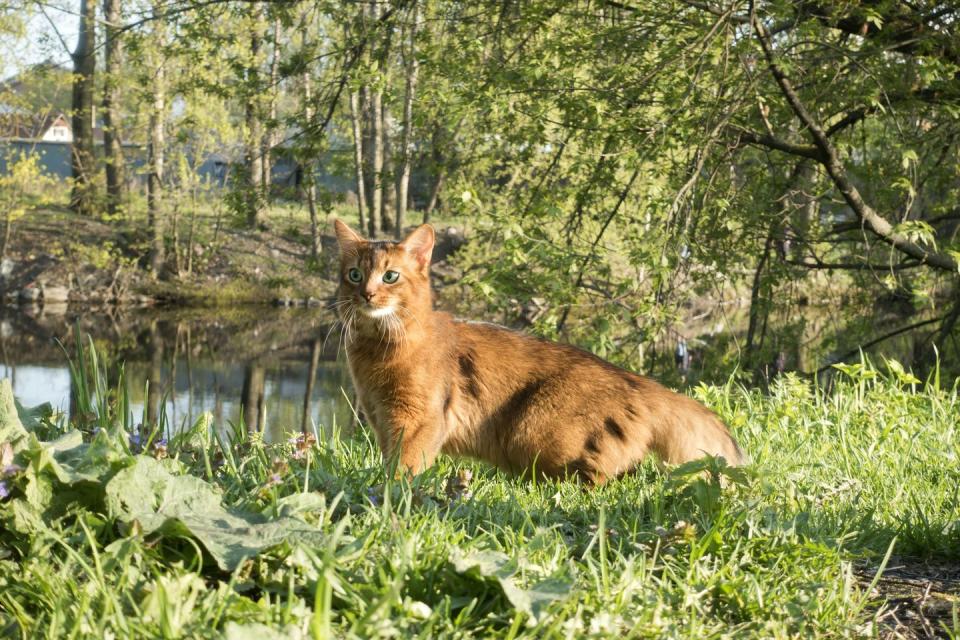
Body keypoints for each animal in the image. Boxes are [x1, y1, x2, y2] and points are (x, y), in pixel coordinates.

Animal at [334, 221, 748, 484]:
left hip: (532, 431)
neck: (376, 349)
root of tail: (635, 380)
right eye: (354, 275)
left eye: (390, 276)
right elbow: (390, 462)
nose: (367, 294)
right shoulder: (382, 420)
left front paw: (391, 494)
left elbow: (403, 471)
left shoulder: (418, 420)